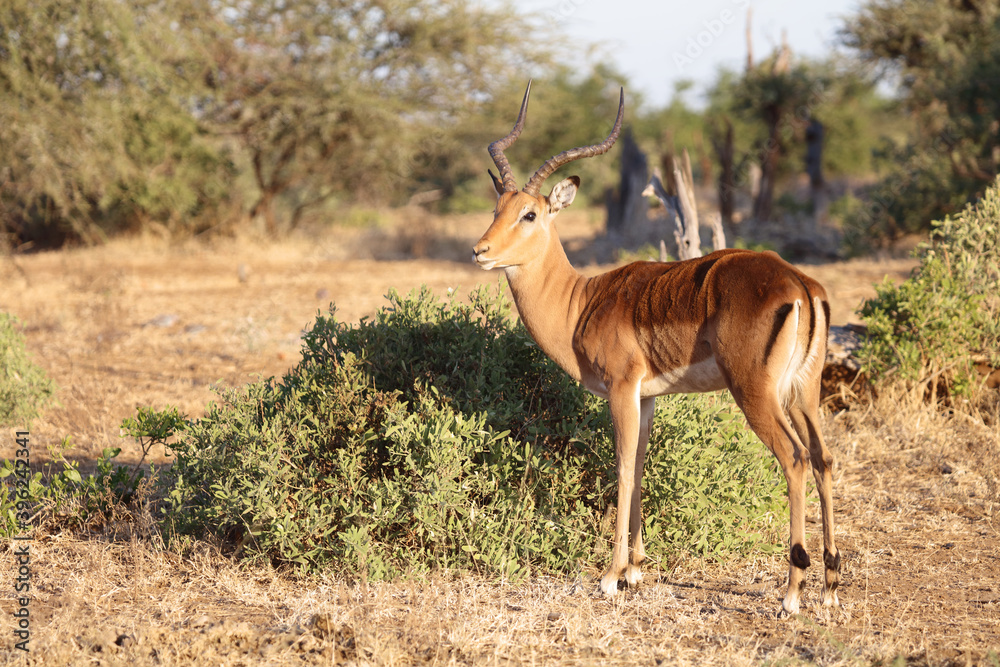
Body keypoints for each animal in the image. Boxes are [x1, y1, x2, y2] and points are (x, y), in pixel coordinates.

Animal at [473, 82, 841, 616]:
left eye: (530, 214)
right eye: (496, 209)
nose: (480, 251)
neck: (580, 303)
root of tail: (798, 284)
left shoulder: (621, 389)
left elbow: (623, 469)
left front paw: (610, 576)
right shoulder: (646, 397)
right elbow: (643, 465)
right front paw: (636, 569)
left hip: (755, 393)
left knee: (794, 459)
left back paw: (792, 592)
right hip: (803, 393)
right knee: (823, 457)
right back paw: (831, 584)